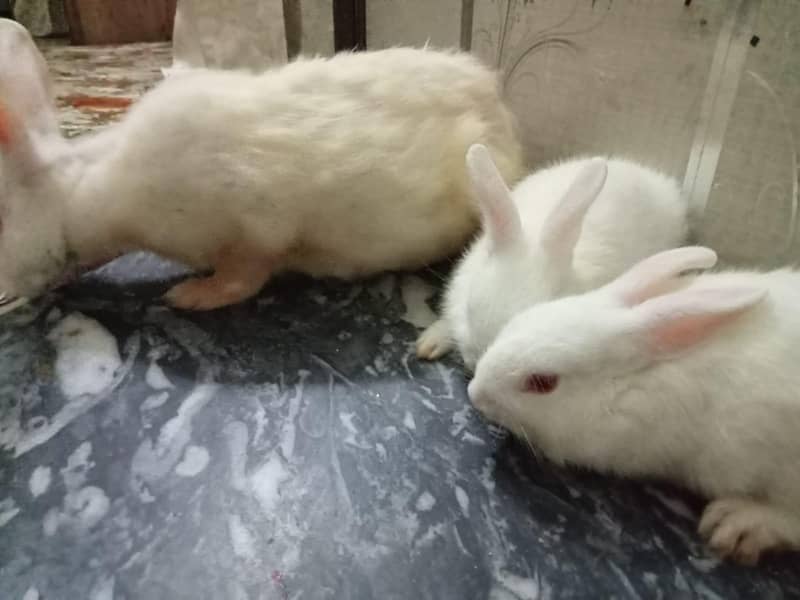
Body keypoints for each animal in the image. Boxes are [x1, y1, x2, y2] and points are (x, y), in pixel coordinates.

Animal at [0, 19, 525, 310]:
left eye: (1, 219)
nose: (8, 292)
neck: (89, 190)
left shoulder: (255, 222)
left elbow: (245, 276)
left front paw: (191, 297)